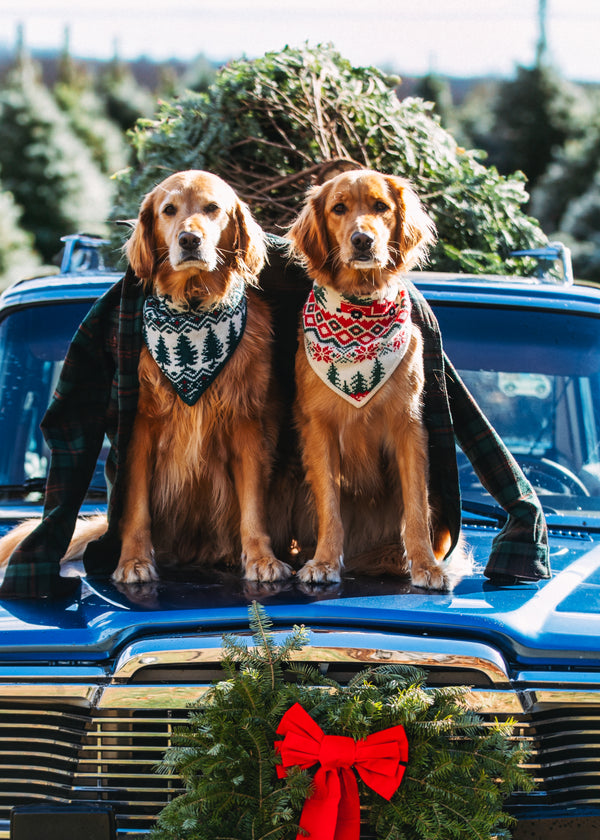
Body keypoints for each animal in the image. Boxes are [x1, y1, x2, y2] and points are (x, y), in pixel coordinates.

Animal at [0, 172, 290, 584]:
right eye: (169, 210)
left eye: (212, 208)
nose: (189, 240)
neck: (193, 308)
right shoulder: (138, 428)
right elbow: (136, 507)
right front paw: (133, 562)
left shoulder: (246, 424)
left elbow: (253, 504)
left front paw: (262, 558)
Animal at [288, 169, 452, 592]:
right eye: (339, 208)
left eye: (381, 206)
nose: (363, 240)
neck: (360, 309)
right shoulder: (319, 429)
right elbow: (329, 504)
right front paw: (324, 561)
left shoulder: (409, 426)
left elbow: (415, 507)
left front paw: (426, 566)